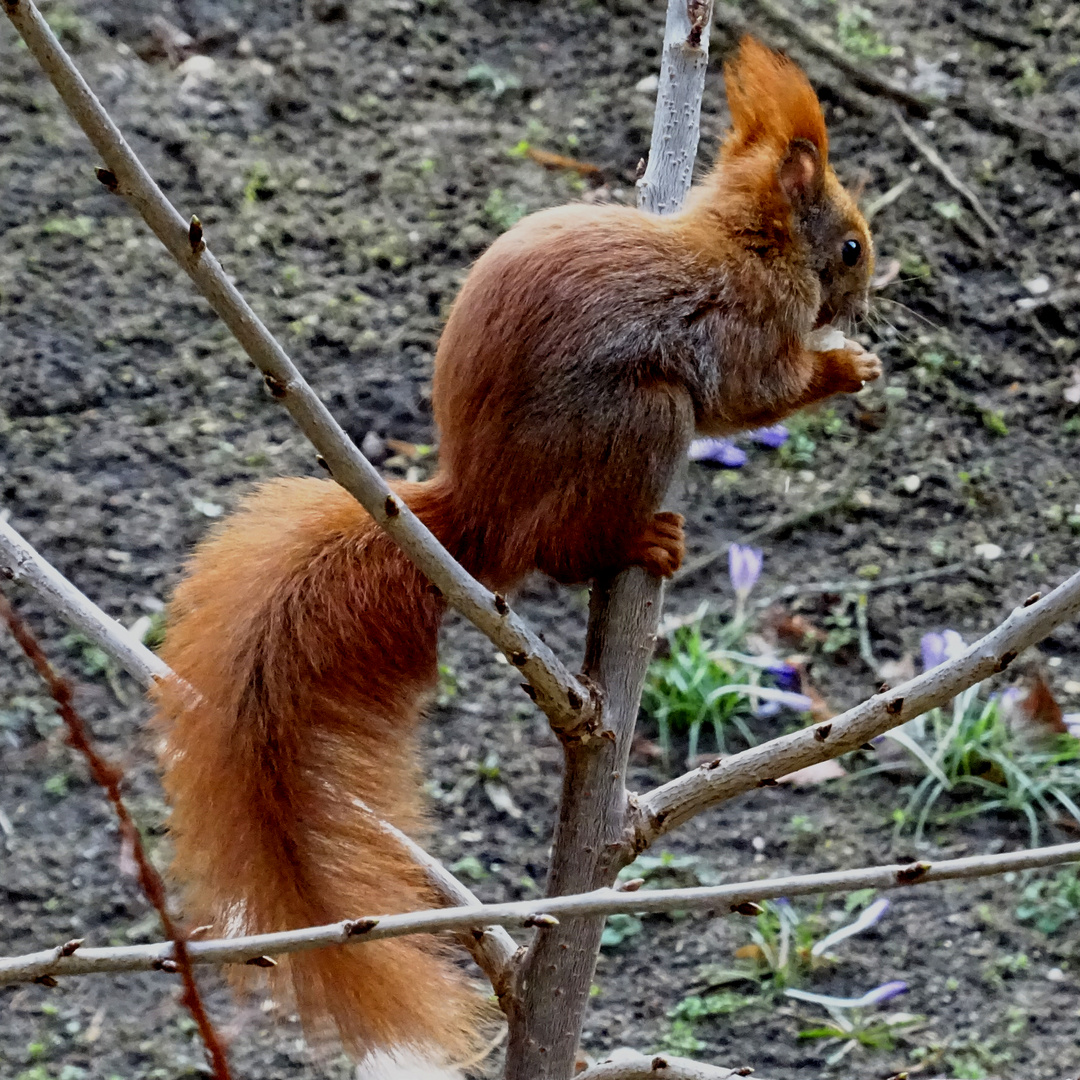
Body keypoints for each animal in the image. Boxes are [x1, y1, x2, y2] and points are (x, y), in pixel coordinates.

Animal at [154, 38, 876, 1067]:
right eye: (849, 245)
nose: (870, 293)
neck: (745, 243)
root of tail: (478, 512)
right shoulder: (741, 326)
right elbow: (753, 395)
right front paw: (846, 368)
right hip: (638, 420)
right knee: (565, 548)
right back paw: (639, 538)